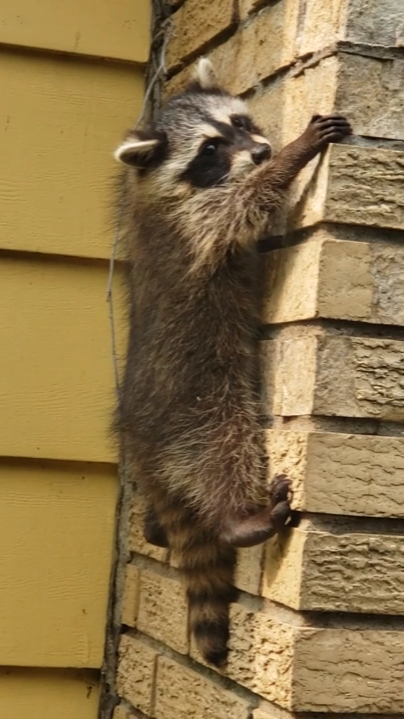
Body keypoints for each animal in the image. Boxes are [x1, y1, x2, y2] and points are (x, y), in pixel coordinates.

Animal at [113, 57, 350, 668]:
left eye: (240, 122)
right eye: (211, 149)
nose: (263, 150)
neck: (155, 186)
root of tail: (137, 444)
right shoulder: (199, 224)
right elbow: (247, 203)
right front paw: (294, 157)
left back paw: (160, 527)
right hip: (198, 406)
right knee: (223, 451)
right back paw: (240, 520)